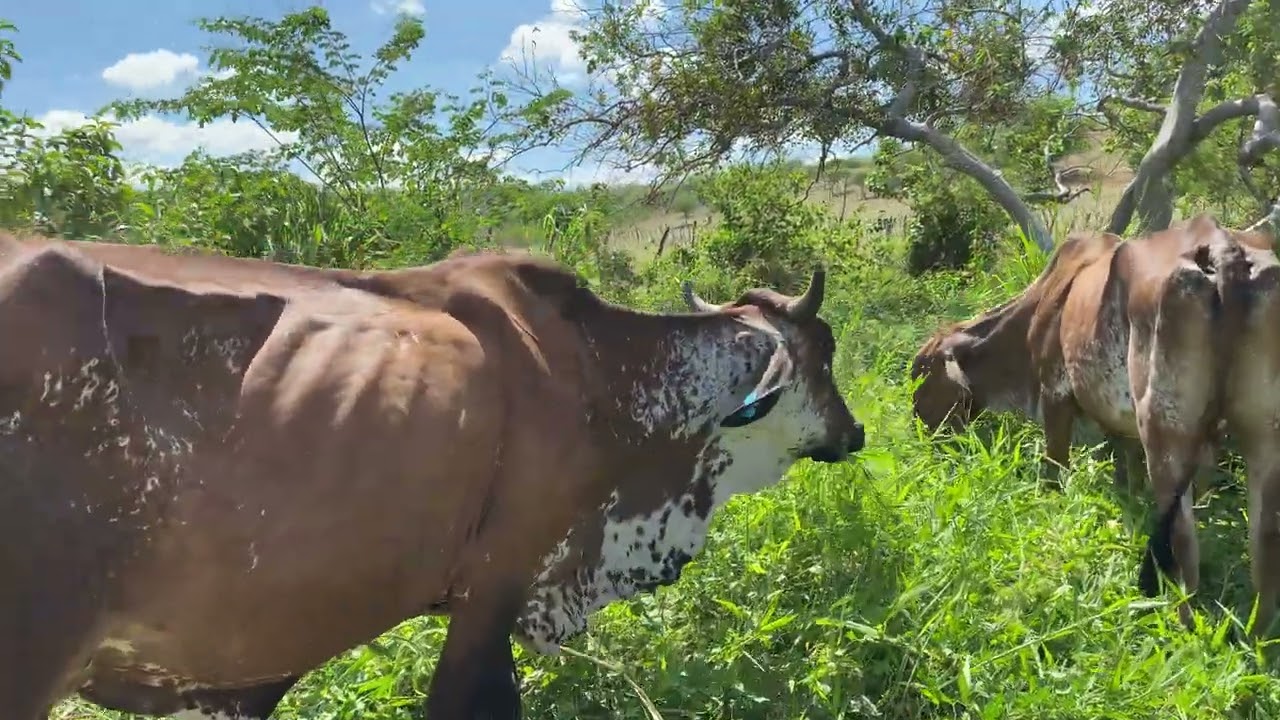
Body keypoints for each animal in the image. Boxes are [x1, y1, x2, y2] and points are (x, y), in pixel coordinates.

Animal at [909, 214, 1280, 636]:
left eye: (921, 374)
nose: (917, 429)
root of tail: (1222, 248)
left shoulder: (1054, 394)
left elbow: (1054, 474)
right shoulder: (1124, 428)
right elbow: (1126, 477)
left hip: (1165, 430)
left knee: (1183, 540)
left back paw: (1181, 623)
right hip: (1263, 434)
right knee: (1265, 540)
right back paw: (1259, 635)